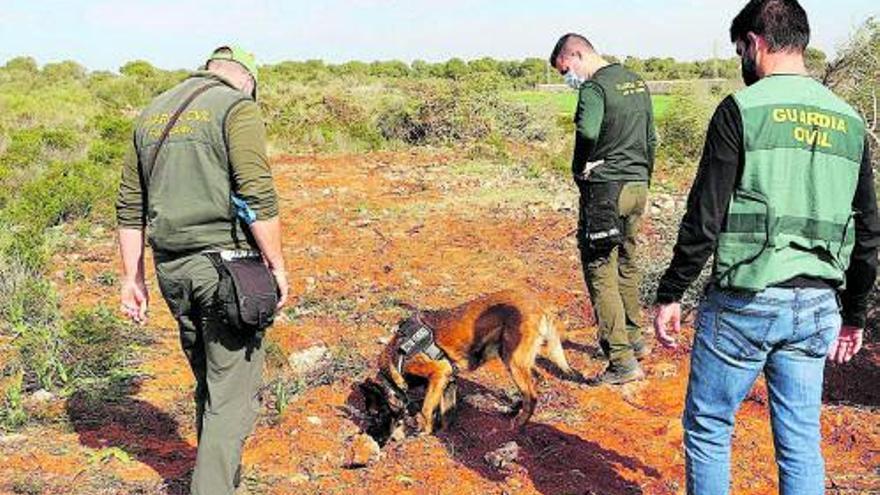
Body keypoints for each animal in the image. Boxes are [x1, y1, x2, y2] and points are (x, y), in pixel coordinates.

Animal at [360, 288, 576, 444]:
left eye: (376, 415)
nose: (375, 440)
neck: (396, 359)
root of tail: (538, 303)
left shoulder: (439, 372)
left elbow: (426, 408)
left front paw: (425, 431)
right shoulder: (448, 381)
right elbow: (446, 412)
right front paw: (443, 433)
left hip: (513, 360)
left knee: (531, 395)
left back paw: (519, 422)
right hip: (514, 357)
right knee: (536, 379)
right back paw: (514, 408)